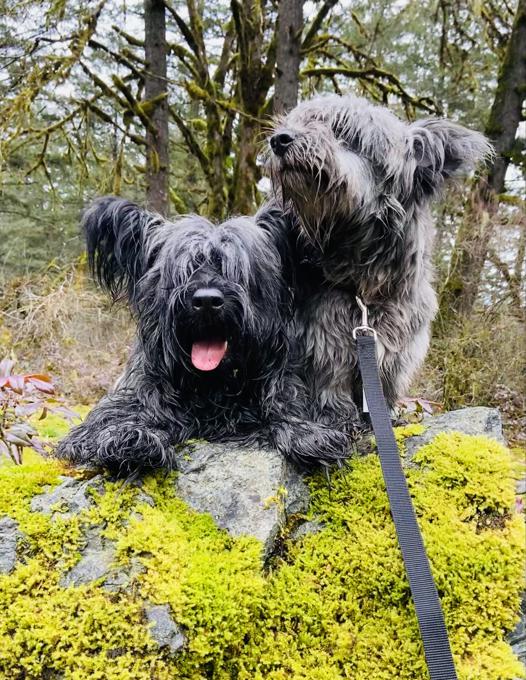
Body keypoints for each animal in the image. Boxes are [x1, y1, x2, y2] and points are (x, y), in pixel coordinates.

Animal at [56, 195, 350, 472]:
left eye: (237, 271)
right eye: (184, 271)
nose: (207, 301)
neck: (212, 386)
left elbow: (284, 411)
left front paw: (305, 433)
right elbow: (106, 423)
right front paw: (131, 437)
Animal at [266, 91, 492, 430]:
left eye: (344, 131)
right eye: (300, 121)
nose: (280, 139)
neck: (364, 286)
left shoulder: (400, 337)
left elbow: (384, 384)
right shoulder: (325, 334)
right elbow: (331, 378)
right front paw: (337, 415)